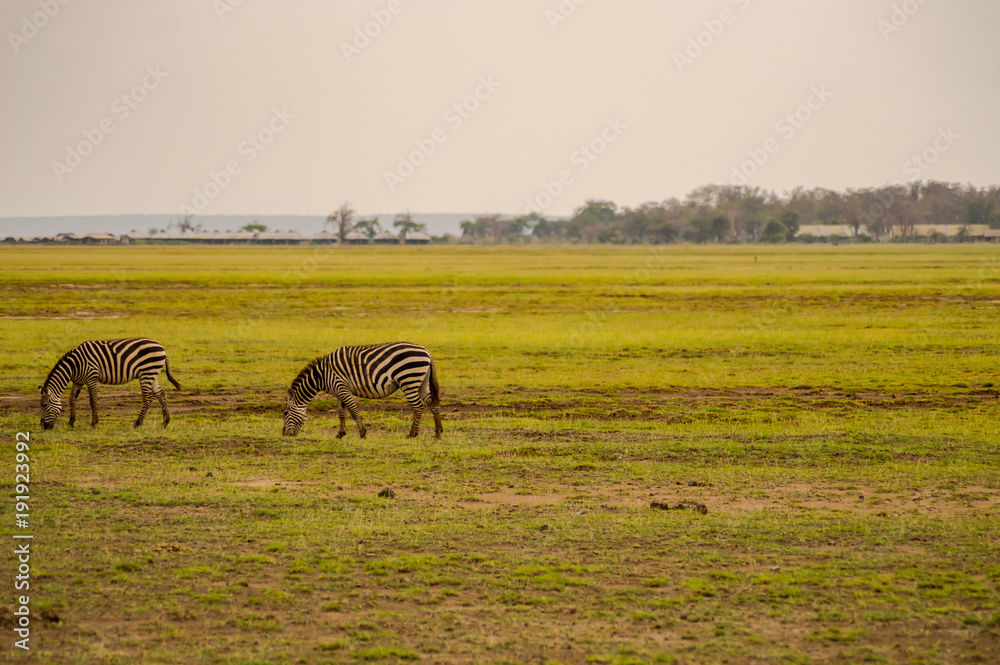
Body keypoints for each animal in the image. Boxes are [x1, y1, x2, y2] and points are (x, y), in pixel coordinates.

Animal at [39, 338, 181, 430]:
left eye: (45, 405)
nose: (43, 426)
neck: (74, 365)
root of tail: (161, 346)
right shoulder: (78, 381)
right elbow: (72, 399)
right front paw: (71, 422)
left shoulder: (91, 377)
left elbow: (93, 400)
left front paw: (94, 423)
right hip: (152, 374)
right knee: (161, 394)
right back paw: (165, 422)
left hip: (146, 373)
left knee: (148, 398)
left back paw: (137, 423)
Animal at [282, 342, 442, 439]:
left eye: (285, 413)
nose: (284, 434)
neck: (322, 375)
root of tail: (426, 351)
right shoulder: (339, 392)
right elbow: (341, 413)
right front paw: (340, 434)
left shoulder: (342, 387)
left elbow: (353, 411)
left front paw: (362, 433)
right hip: (421, 382)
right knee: (432, 403)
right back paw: (438, 432)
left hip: (408, 380)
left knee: (418, 407)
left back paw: (412, 434)